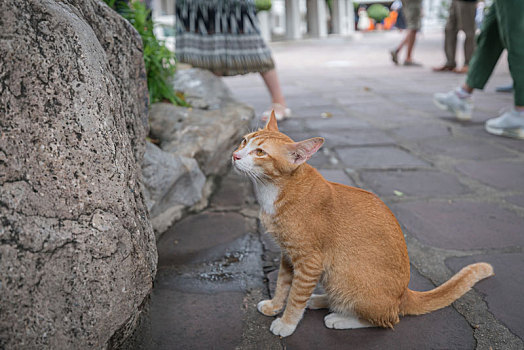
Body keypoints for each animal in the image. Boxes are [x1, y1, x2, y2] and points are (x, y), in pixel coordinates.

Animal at [231, 111, 494, 336]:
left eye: (260, 152)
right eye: (244, 142)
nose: (234, 155)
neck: (273, 189)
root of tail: (403, 295)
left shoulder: (309, 262)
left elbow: (296, 296)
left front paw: (286, 323)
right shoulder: (288, 255)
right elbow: (283, 285)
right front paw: (275, 305)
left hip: (341, 275)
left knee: (387, 320)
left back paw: (339, 318)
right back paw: (321, 300)